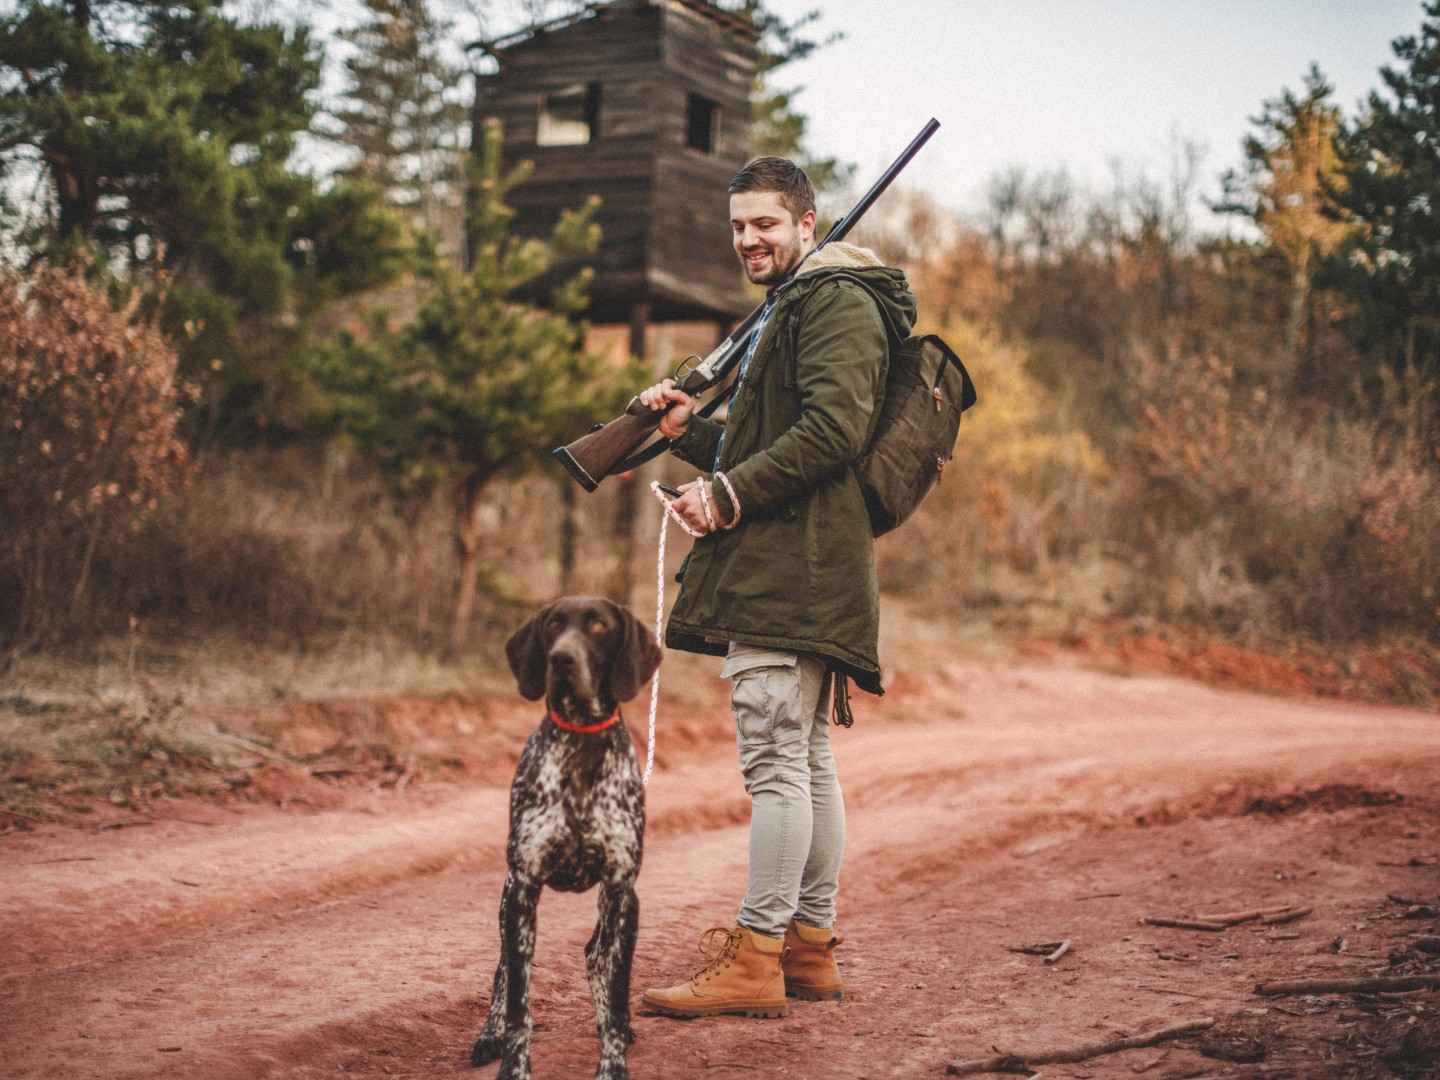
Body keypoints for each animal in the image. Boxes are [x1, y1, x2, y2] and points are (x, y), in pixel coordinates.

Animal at [472, 601, 662, 1080]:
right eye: (553, 624)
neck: (581, 744)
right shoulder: (523, 890)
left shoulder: (622, 892)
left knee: (597, 956)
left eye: (598, 625)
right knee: (503, 972)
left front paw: (613, 1062)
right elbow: (518, 1001)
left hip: (612, 908)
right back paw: (488, 1035)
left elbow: (616, 991)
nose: (561, 659)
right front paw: (513, 1066)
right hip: (508, 903)